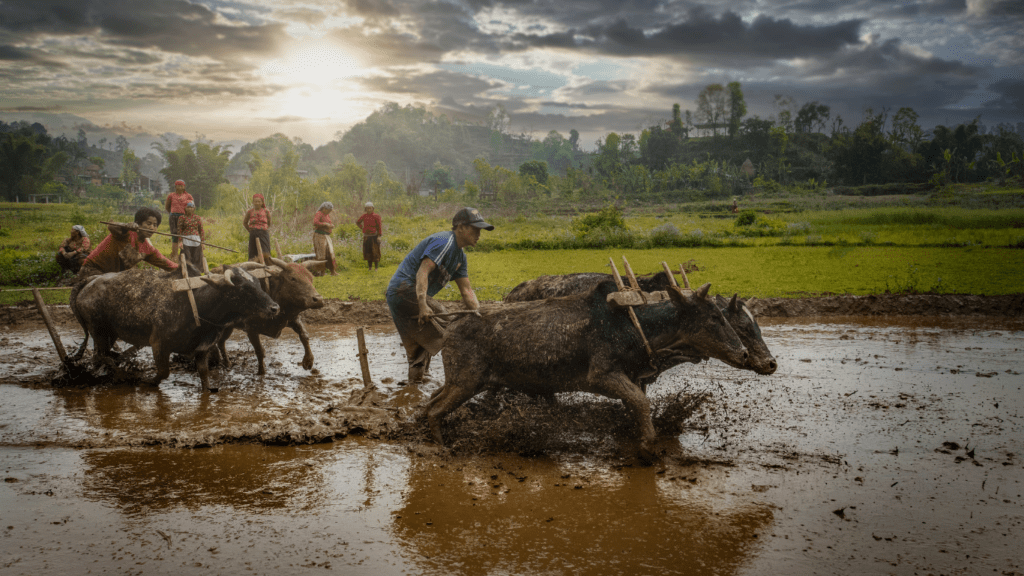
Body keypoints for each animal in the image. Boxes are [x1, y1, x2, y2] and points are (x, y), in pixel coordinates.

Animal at [71, 264, 280, 389]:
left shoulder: (202, 349)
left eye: (257, 283)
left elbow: (204, 374)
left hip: (110, 333)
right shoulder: (158, 344)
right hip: (98, 331)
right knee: (101, 357)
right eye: (244, 288)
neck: (197, 305)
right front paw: (147, 382)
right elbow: (163, 373)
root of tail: (90, 281)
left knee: (102, 357)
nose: (275, 308)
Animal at [419, 280, 749, 455]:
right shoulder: (602, 376)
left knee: (431, 401)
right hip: (466, 383)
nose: (744, 353)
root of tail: (451, 323)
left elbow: (637, 404)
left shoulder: (629, 379)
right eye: (714, 317)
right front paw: (647, 445)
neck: (631, 325)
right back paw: (440, 447)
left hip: (466, 382)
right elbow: (641, 404)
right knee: (434, 410)